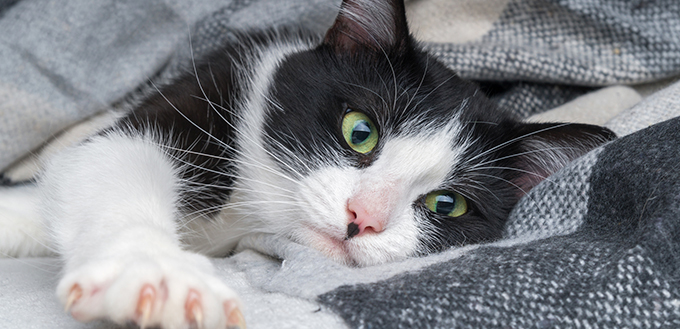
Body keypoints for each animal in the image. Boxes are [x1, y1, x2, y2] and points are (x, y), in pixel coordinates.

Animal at [1, 0, 616, 326]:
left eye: (448, 204)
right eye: (360, 132)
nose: (364, 217)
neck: (251, 212)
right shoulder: (215, 85)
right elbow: (106, 158)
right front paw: (156, 276)